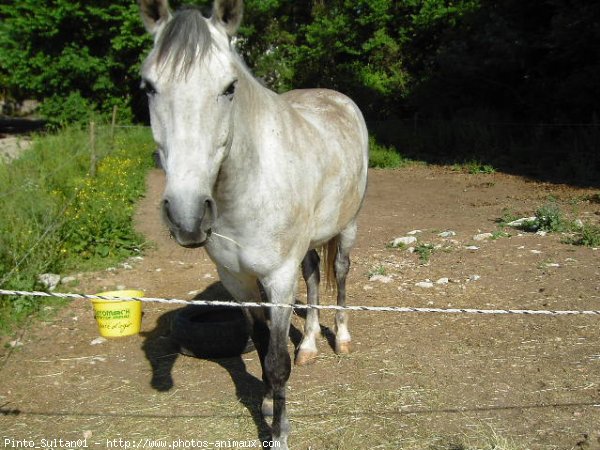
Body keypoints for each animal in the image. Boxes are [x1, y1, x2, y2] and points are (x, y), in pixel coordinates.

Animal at [138, 0, 368, 446]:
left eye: (229, 87)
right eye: (149, 87)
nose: (187, 216)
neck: (249, 186)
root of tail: (337, 99)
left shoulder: (277, 279)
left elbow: (277, 361)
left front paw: (278, 434)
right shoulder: (238, 280)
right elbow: (262, 347)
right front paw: (266, 406)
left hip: (347, 226)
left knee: (341, 273)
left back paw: (342, 339)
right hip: (305, 248)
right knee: (314, 275)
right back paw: (309, 345)